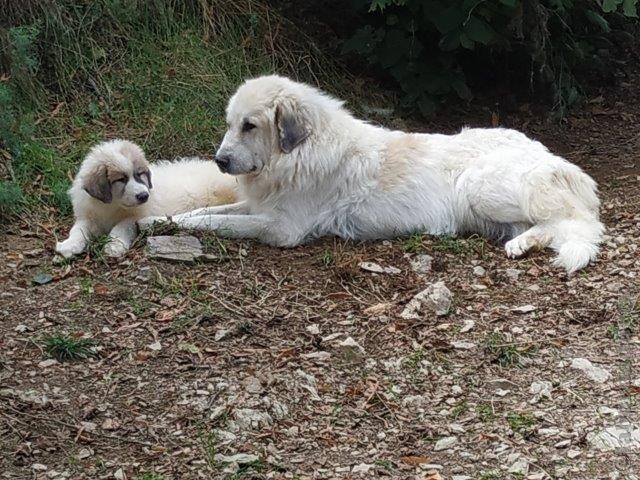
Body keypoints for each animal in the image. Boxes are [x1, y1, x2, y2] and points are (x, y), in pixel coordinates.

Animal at [56, 139, 238, 258]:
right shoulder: (89, 216)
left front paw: (114, 245)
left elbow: (121, 227)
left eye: (140, 174)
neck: (114, 205)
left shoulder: (138, 216)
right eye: (121, 179)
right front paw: (69, 245)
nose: (144, 195)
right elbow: (78, 229)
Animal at [140, 73, 604, 272]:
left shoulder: (281, 228)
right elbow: (205, 213)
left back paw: (526, 243)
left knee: (572, 222)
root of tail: (555, 158)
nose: (220, 161)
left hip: (479, 186)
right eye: (230, 123)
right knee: (546, 225)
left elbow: (220, 223)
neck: (300, 152)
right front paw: (156, 221)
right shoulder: (261, 206)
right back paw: (521, 243)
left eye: (249, 126)